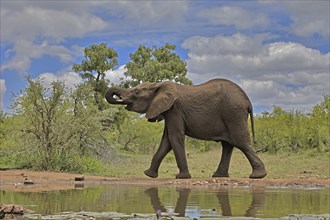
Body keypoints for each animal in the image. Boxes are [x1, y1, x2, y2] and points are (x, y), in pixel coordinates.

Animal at [105, 79, 266, 179]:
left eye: (136, 93)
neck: (158, 85)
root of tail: (247, 100)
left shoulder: (175, 110)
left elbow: (174, 137)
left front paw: (181, 177)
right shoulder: (169, 112)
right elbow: (167, 141)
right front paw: (148, 174)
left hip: (233, 113)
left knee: (241, 142)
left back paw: (258, 176)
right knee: (228, 145)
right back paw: (219, 176)